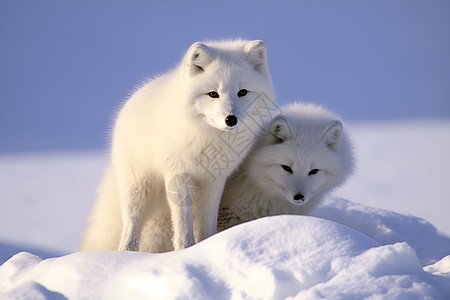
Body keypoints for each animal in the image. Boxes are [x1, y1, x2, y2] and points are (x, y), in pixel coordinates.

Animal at [81, 39, 278, 251]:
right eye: (213, 94)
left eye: (242, 92)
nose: (230, 119)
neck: (210, 138)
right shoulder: (179, 177)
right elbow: (182, 226)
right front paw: (185, 250)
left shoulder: (214, 180)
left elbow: (208, 223)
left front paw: (207, 243)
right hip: (138, 189)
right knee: (131, 227)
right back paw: (126, 254)